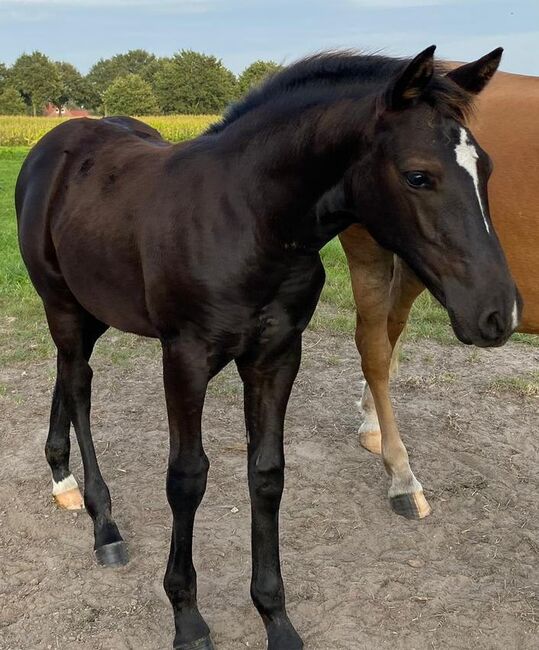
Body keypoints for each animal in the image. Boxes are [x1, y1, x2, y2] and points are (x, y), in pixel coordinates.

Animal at [340, 68, 536, 520]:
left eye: (488, 170)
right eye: (417, 177)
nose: (502, 312)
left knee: (390, 330)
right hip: (371, 249)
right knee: (374, 345)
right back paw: (401, 476)